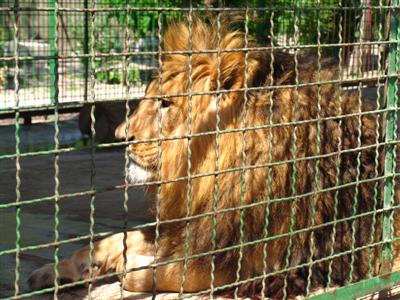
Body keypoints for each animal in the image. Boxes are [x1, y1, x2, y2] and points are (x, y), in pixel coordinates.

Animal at [28, 18, 400, 298]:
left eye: (165, 104)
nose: (122, 136)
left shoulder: (255, 262)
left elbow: (164, 273)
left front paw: (129, 266)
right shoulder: (193, 225)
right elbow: (107, 241)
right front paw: (53, 270)